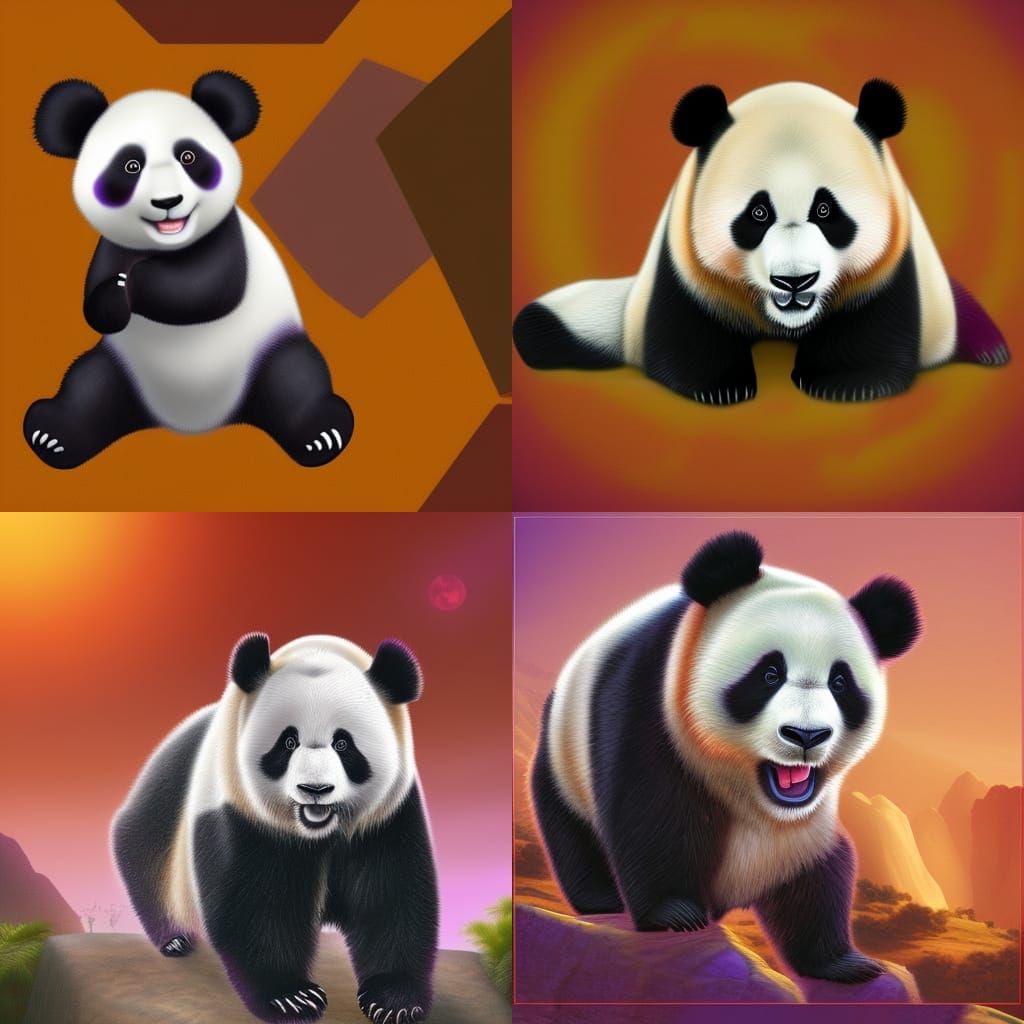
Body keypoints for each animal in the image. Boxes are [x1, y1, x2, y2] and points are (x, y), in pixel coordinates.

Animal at [27, 72, 354, 468]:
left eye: (188, 156)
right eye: (130, 166)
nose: (167, 201)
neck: (166, 248)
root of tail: (193, 422)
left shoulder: (226, 237)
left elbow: (205, 289)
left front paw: (130, 287)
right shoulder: (112, 247)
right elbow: (95, 299)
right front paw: (114, 294)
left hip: (269, 351)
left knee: (296, 380)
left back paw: (322, 434)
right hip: (122, 369)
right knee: (89, 388)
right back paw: (51, 434)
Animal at [112, 632, 437, 1023]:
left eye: (343, 743)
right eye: (288, 742)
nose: (315, 789)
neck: (317, 832)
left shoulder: (387, 817)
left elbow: (391, 897)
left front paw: (393, 1000)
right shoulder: (240, 810)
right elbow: (256, 907)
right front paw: (292, 997)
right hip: (169, 796)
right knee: (143, 848)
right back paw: (174, 938)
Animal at [514, 79, 1010, 403]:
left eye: (825, 211)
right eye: (758, 213)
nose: (795, 281)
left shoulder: (892, 258)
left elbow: (872, 322)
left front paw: (845, 383)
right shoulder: (681, 257)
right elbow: (687, 326)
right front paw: (722, 387)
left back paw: (992, 348)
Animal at [531, 531, 922, 983]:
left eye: (840, 682)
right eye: (769, 673)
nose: (806, 735)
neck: (750, 795)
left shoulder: (804, 829)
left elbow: (820, 872)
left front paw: (843, 962)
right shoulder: (650, 701)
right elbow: (650, 809)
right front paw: (673, 913)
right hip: (562, 752)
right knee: (570, 826)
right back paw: (600, 898)